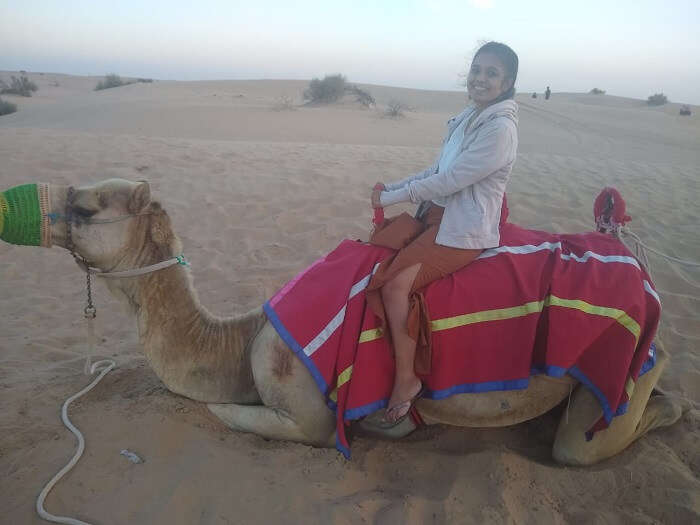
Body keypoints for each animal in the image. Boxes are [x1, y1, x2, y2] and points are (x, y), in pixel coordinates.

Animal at [4, 179, 684, 462]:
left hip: (615, 372)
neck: (240, 341)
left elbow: (222, 413)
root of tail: (643, 272)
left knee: (590, 439)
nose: (29, 208)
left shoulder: (306, 413)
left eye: (86, 207)